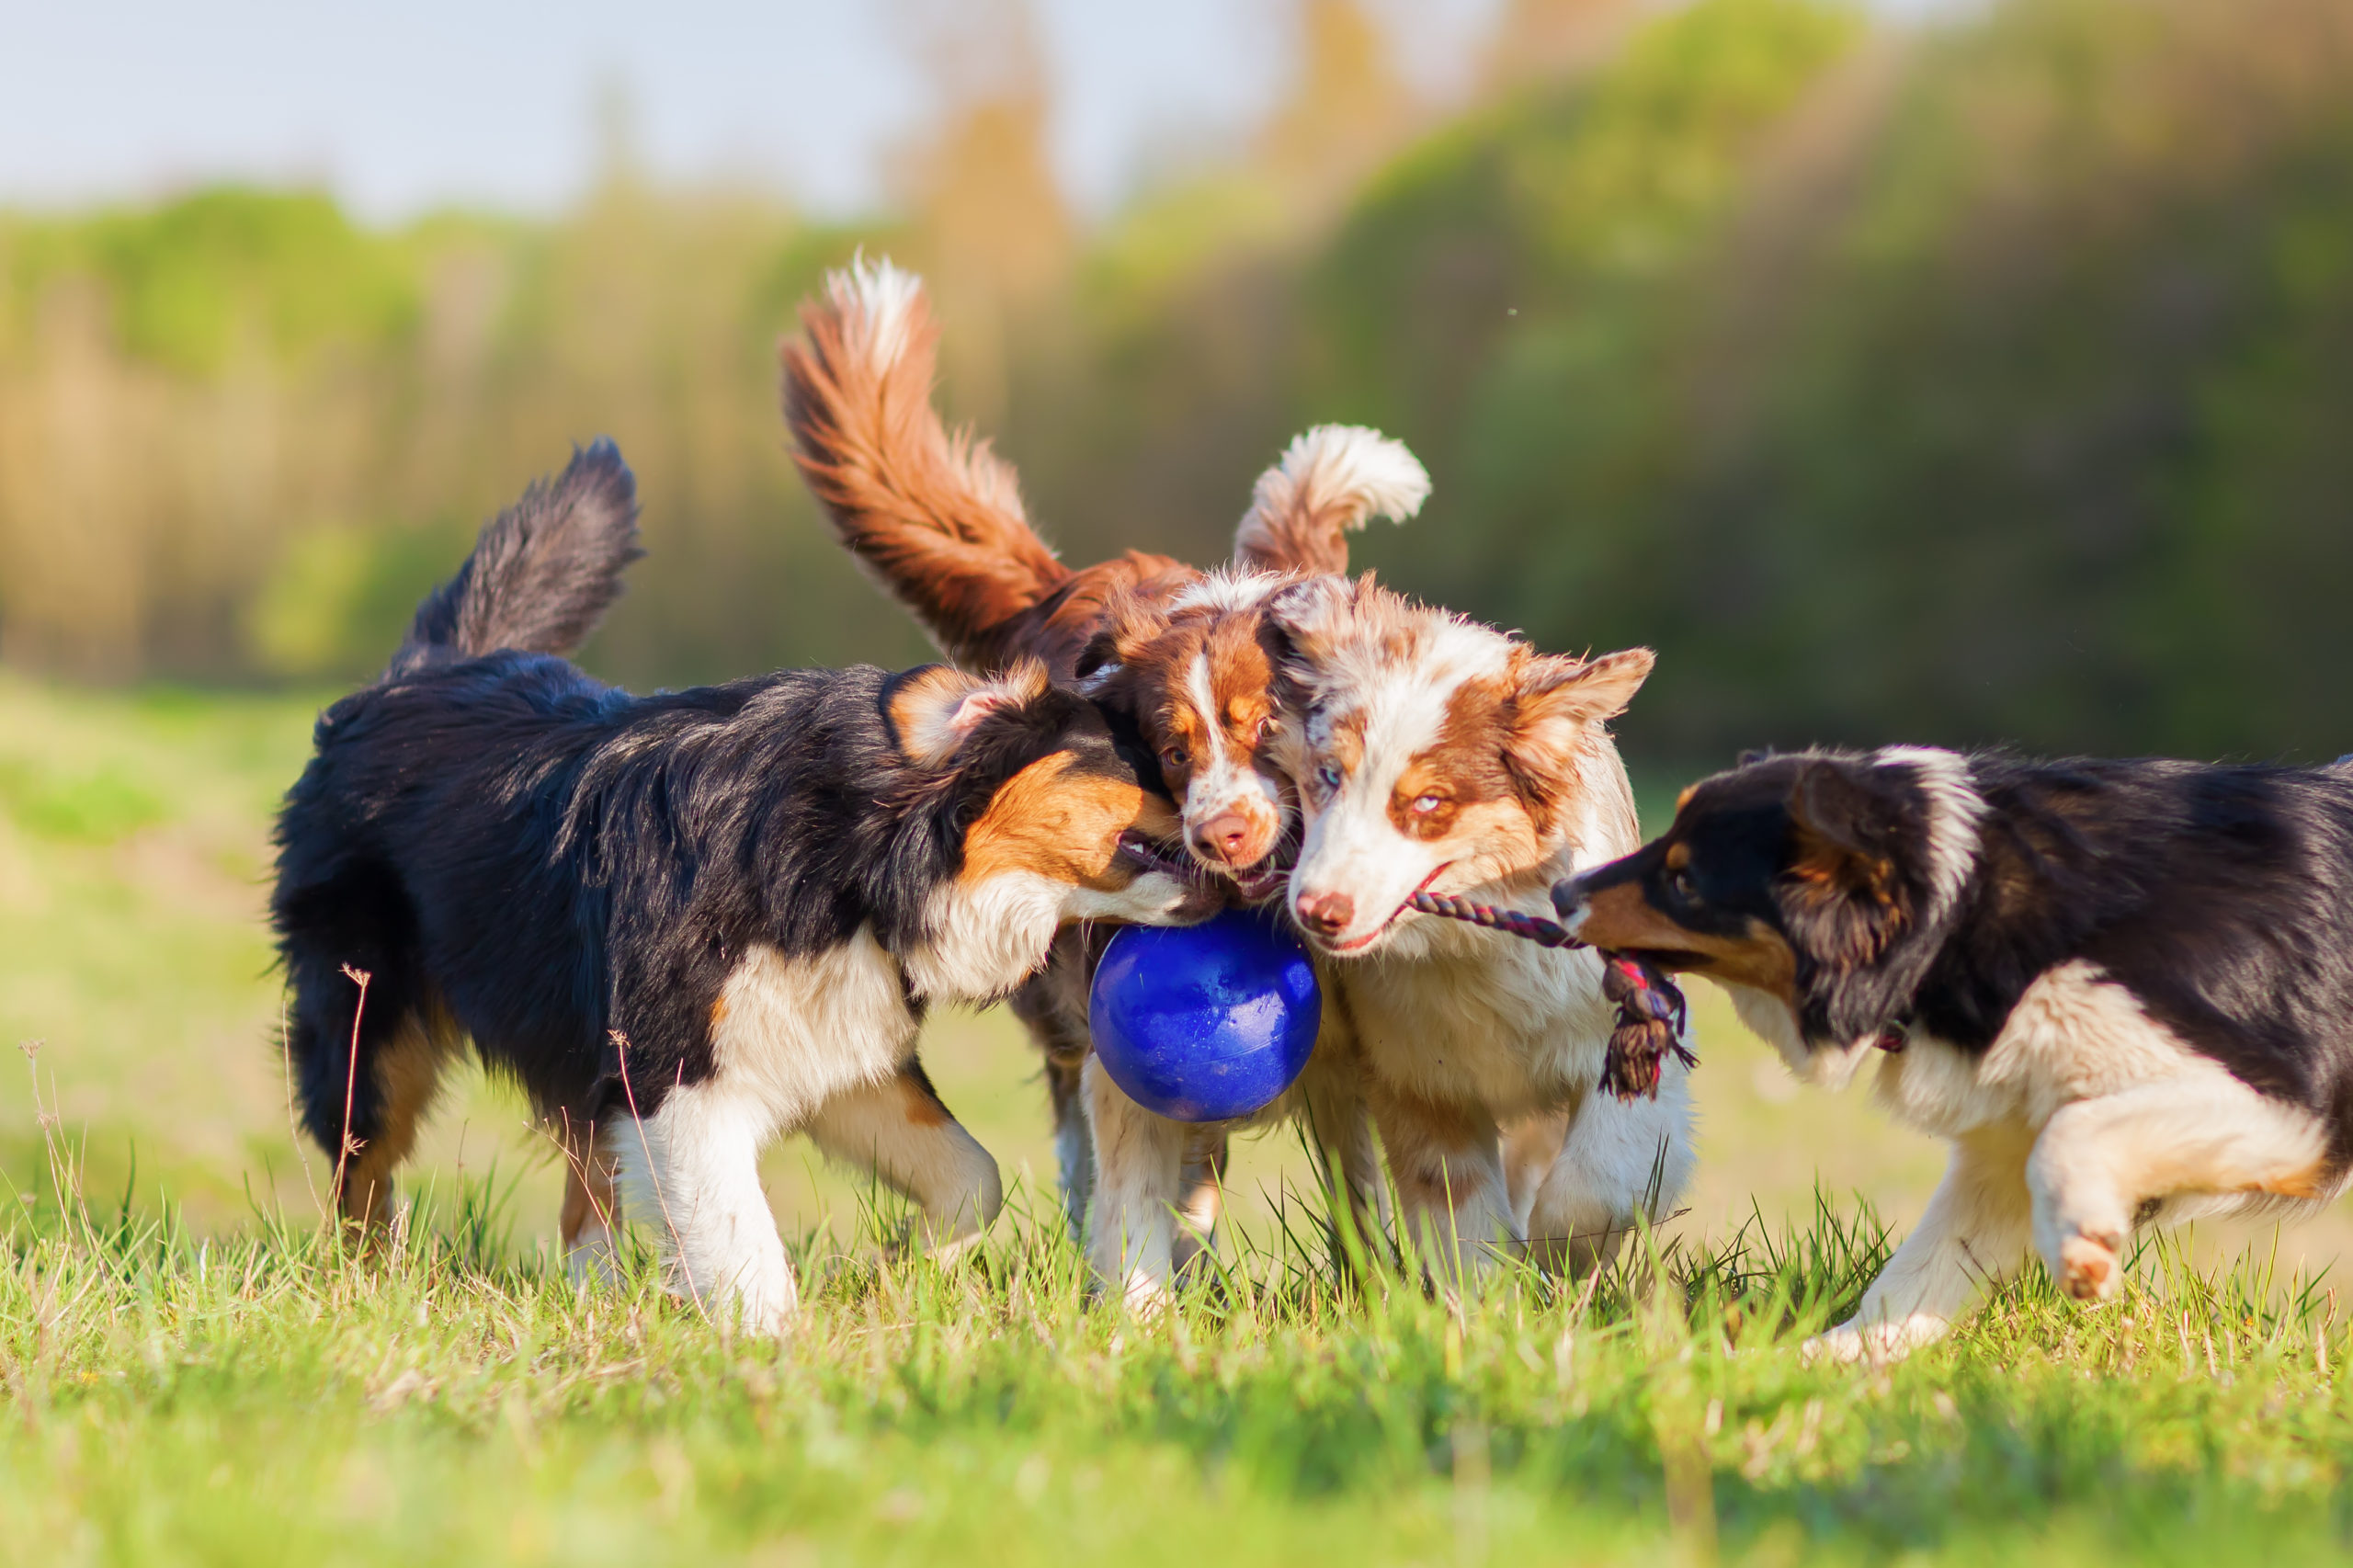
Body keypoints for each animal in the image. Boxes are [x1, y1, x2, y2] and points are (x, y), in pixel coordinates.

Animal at [270, 440, 1213, 1327]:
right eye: (1141, 753)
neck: (840, 855)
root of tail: (417, 671)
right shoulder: (677, 1073)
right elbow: (745, 1248)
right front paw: (773, 1348)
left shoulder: (840, 1046)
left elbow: (972, 1178)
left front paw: (894, 1273)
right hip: (370, 1034)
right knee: (362, 1178)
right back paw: (370, 1289)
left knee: (583, 1192)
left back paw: (598, 1300)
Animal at [1261, 576, 1703, 1280]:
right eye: (1329, 775)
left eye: (1428, 802)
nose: (1315, 911)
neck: (1473, 948)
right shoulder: (1415, 1074)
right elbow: (1458, 1215)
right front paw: (1489, 1296)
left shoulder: (1625, 1033)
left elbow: (1595, 1179)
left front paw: (1562, 1256)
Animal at [1562, 744, 2353, 1356]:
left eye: (1684, 881)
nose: (1564, 891)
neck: (1958, 911)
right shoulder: (2004, 1143)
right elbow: (1920, 1269)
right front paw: (1819, 1364)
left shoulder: (2285, 1104)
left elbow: (2074, 1134)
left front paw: (2084, 1248)